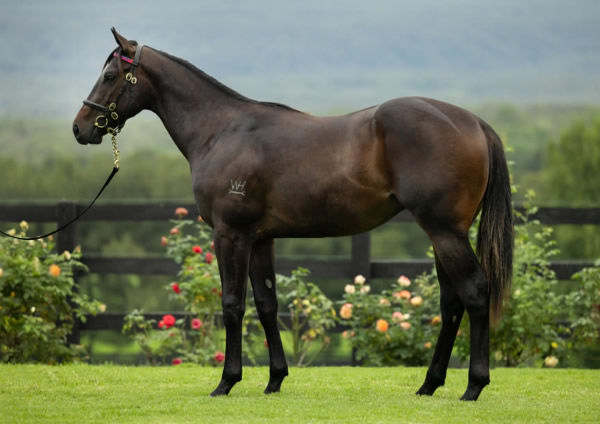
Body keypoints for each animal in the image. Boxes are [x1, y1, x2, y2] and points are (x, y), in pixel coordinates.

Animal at [71, 29, 510, 400]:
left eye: (109, 75)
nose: (79, 128)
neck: (222, 131)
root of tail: (476, 123)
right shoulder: (261, 239)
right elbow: (267, 304)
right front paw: (275, 380)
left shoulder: (231, 235)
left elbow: (233, 304)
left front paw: (226, 382)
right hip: (442, 234)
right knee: (451, 303)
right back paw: (429, 385)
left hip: (445, 232)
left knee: (474, 291)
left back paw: (474, 386)